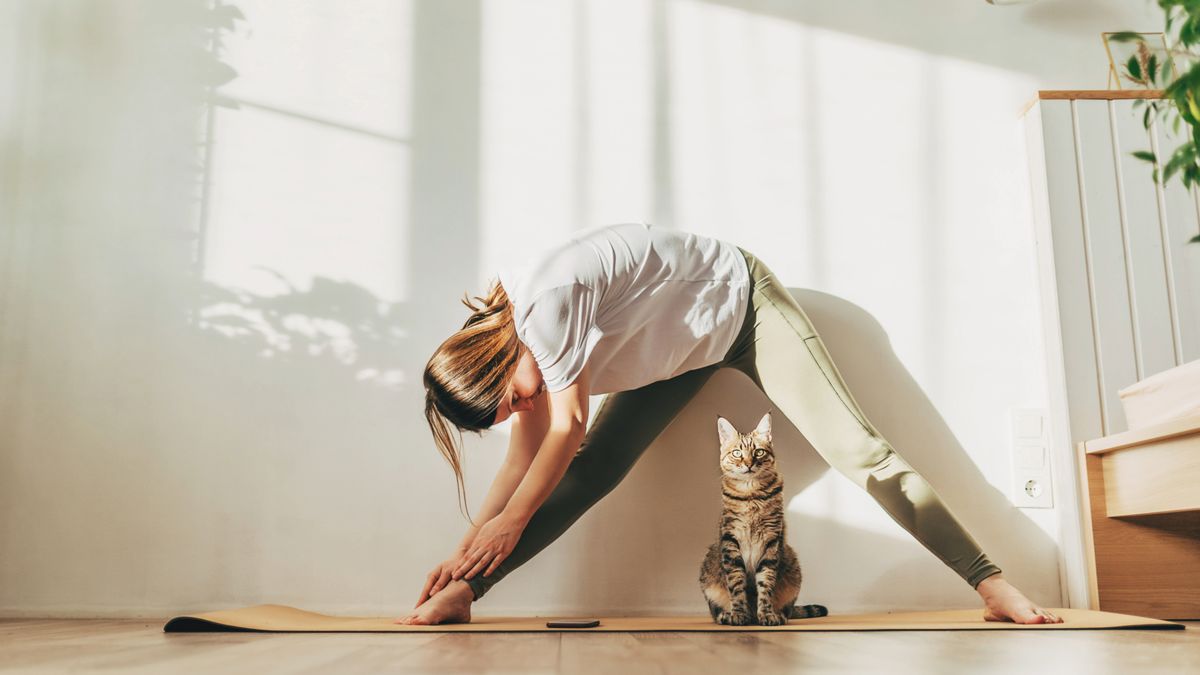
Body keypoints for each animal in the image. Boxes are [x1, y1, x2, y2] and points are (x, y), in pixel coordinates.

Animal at [700, 410, 830, 624]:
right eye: (737, 453)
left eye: (759, 452)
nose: (748, 463)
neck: (751, 493)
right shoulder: (730, 540)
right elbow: (736, 584)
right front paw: (738, 614)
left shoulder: (771, 542)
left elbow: (766, 583)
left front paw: (767, 614)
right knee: (715, 610)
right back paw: (727, 615)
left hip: (793, 566)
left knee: (788, 609)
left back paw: (777, 615)